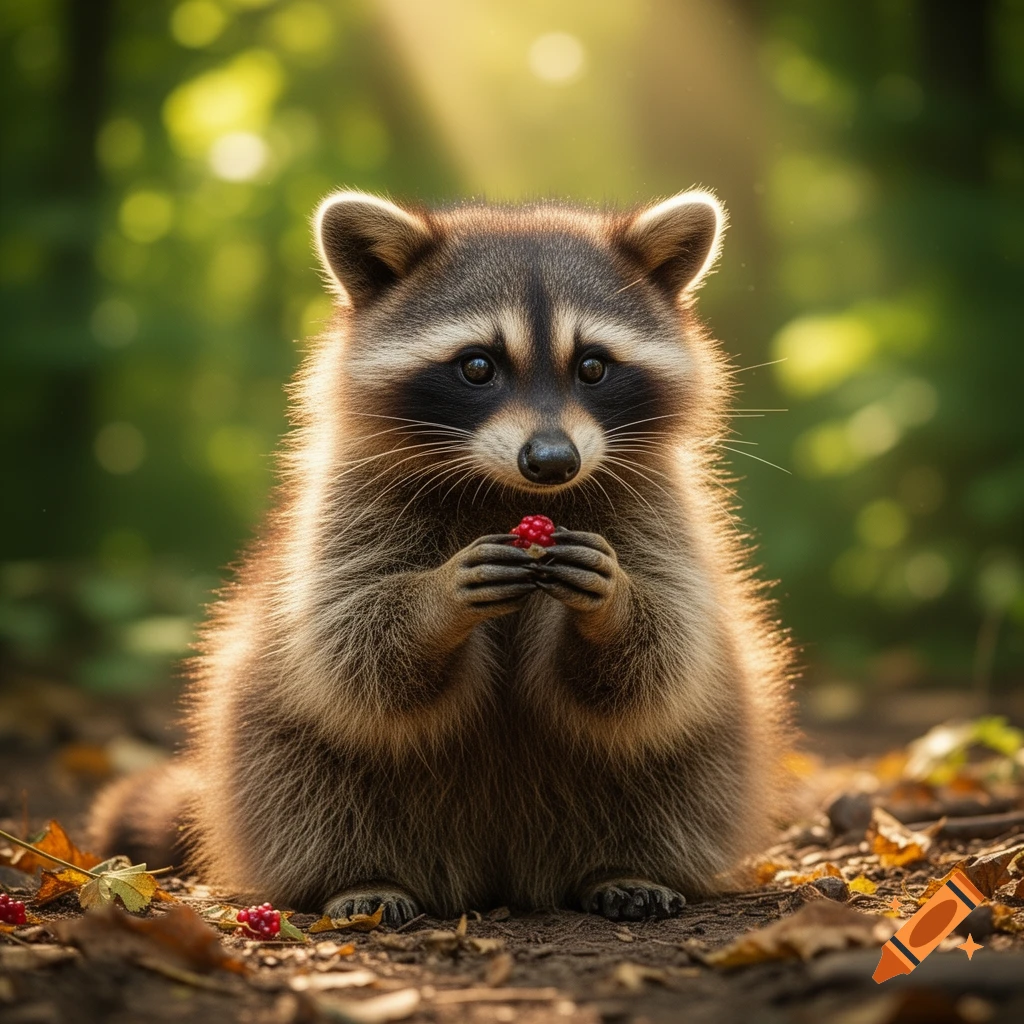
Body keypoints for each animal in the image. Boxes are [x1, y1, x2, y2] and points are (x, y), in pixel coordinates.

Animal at [89, 188, 796, 924]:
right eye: (478, 366)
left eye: (593, 366)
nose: (553, 461)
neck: (509, 492)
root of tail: (500, 869)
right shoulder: (348, 507)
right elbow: (350, 637)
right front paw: (437, 600)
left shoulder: (662, 511)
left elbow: (665, 650)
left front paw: (616, 604)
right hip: (267, 738)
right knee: (306, 785)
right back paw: (361, 876)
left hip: (709, 745)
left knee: (677, 768)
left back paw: (623, 864)